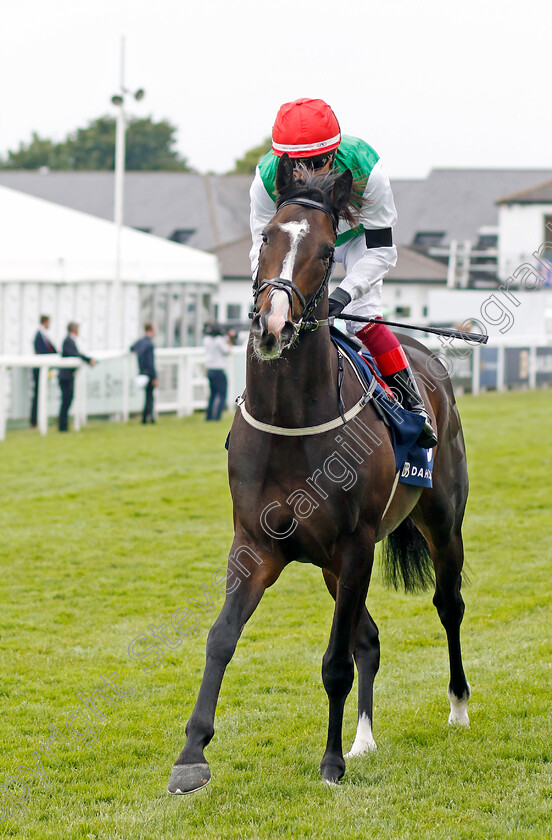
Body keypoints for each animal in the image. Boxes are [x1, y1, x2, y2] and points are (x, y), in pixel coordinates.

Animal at [168, 154, 470, 792]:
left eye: (329, 250)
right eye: (266, 236)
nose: (272, 323)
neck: (293, 421)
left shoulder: (355, 545)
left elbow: (334, 661)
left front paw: (330, 762)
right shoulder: (255, 543)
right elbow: (221, 638)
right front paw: (191, 756)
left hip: (440, 521)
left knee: (447, 603)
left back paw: (456, 706)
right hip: (336, 567)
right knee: (370, 638)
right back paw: (364, 739)